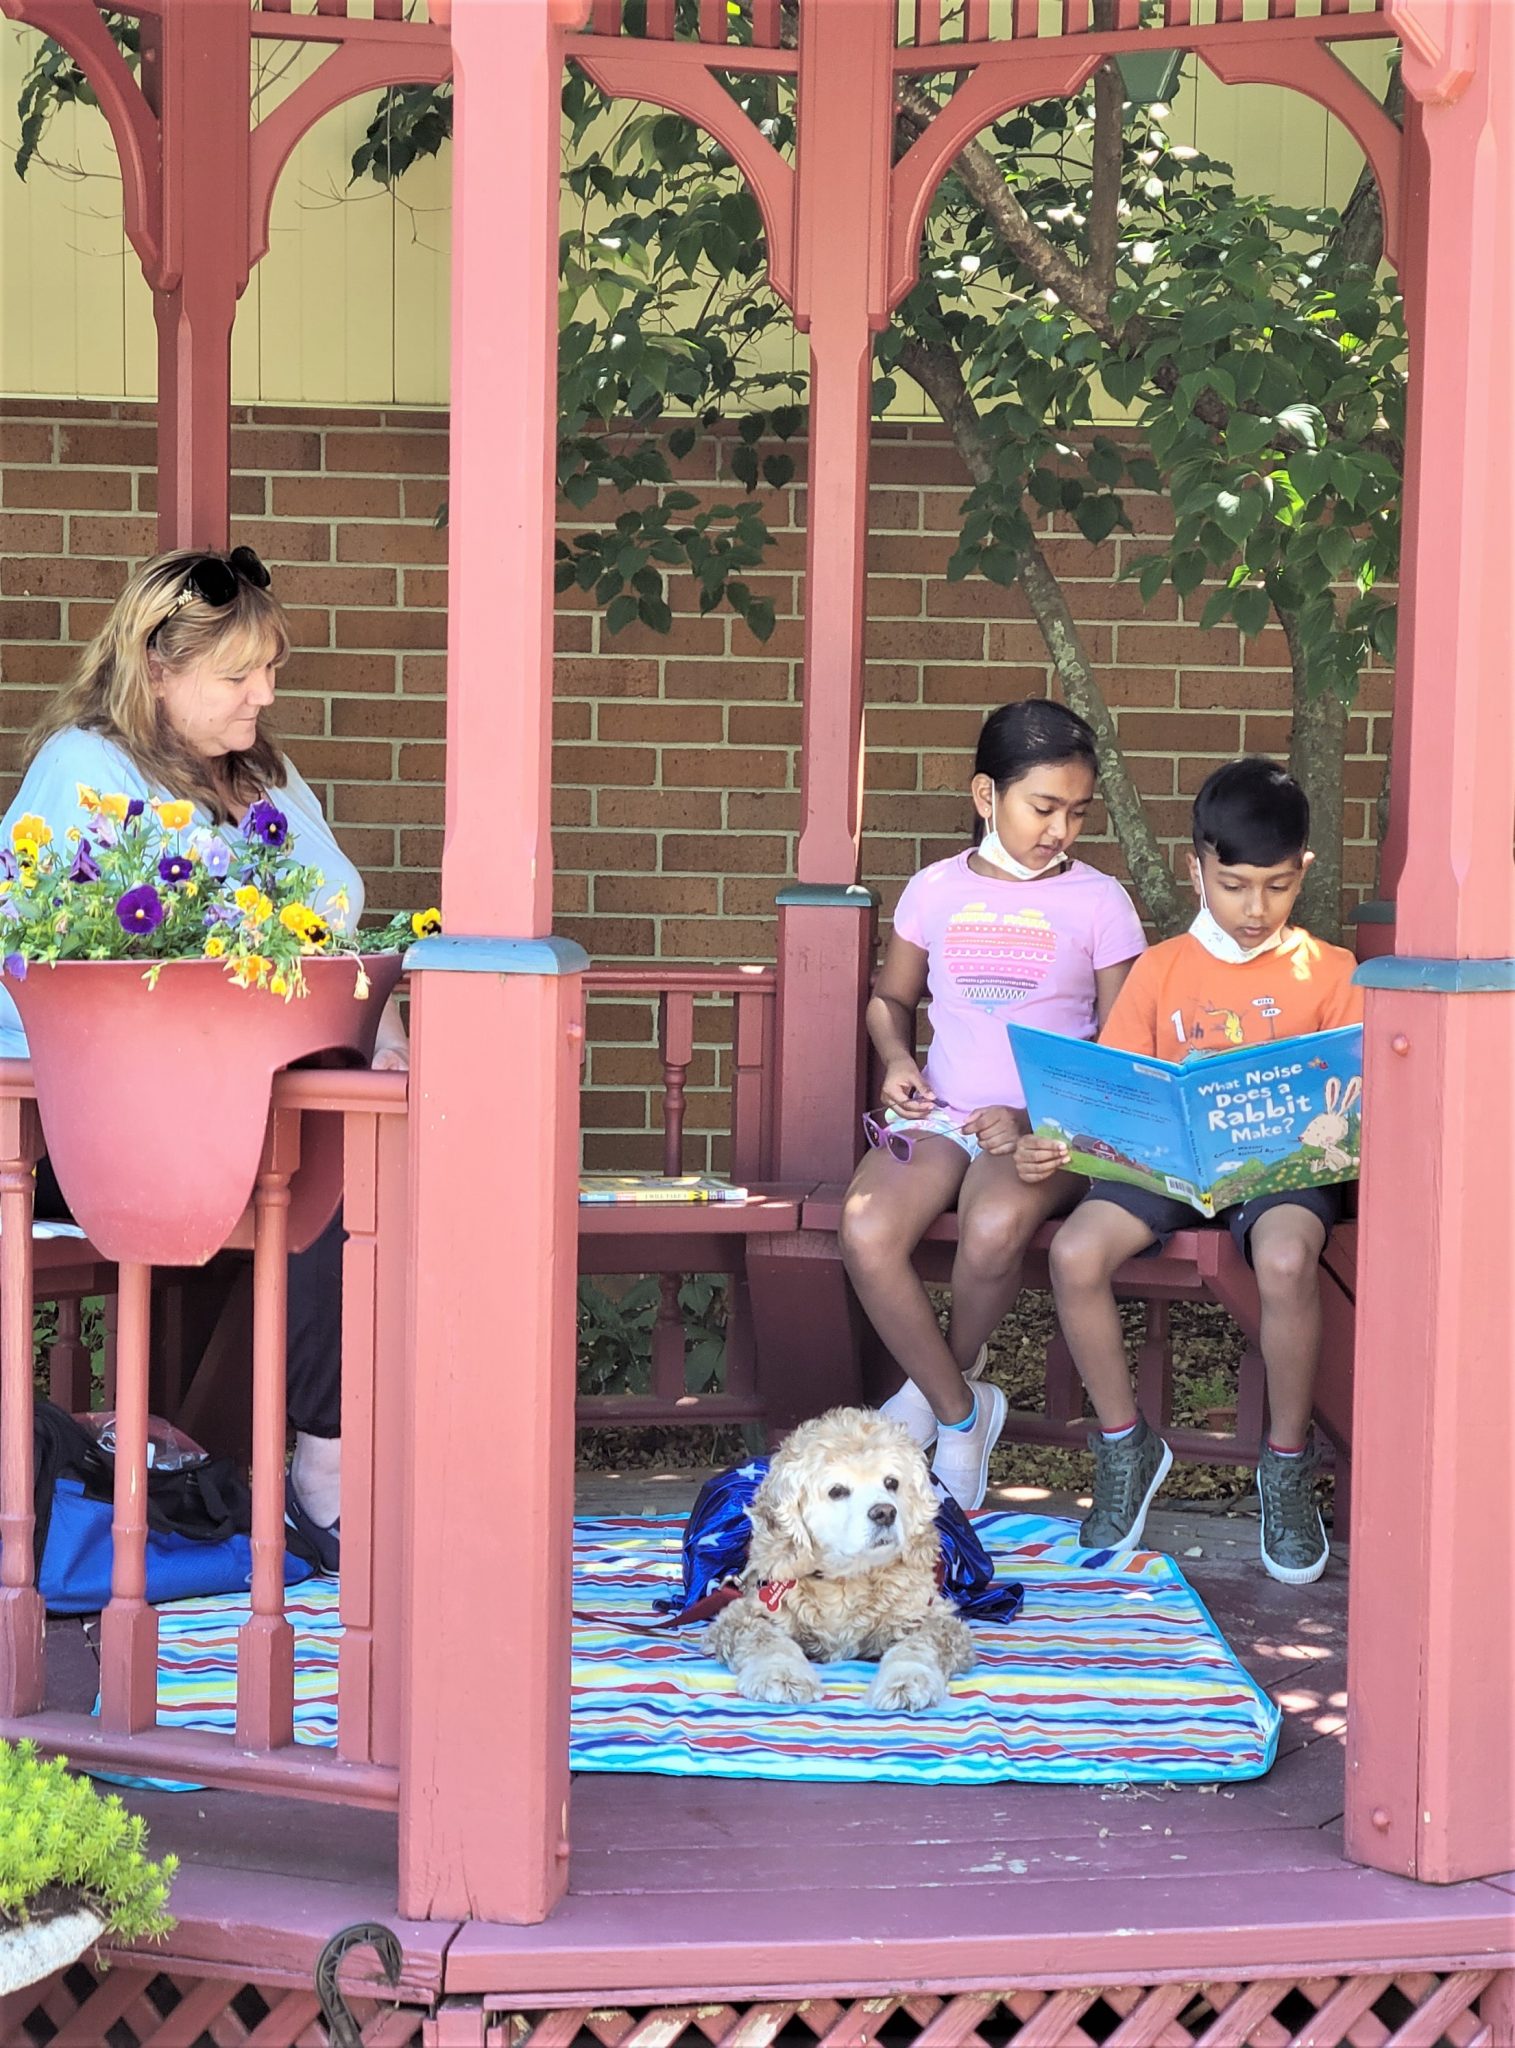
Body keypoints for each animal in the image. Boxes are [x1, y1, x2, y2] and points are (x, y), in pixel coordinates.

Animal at [708, 1409, 970, 1712]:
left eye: (891, 1483)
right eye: (837, 1491)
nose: (885, 1512)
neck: (845, 1582)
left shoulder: (931, 1617)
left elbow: (918, 1646)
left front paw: (907, 1681)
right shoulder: (744, 1615)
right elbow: (766, 1640)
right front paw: (782, 1675)